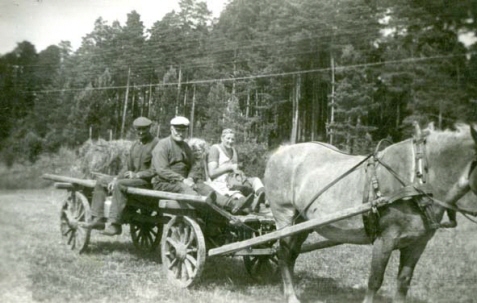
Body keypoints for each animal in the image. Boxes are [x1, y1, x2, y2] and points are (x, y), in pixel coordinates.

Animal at [264, 124, 476, 303]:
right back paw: (291, 297)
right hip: (285, 217)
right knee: (283, 254)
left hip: (302, 223)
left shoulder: (417, 243)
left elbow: (403, 282)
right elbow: (375, 280)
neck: (417, 179)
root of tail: (280, 151)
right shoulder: (385, 239)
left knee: (292, 255)